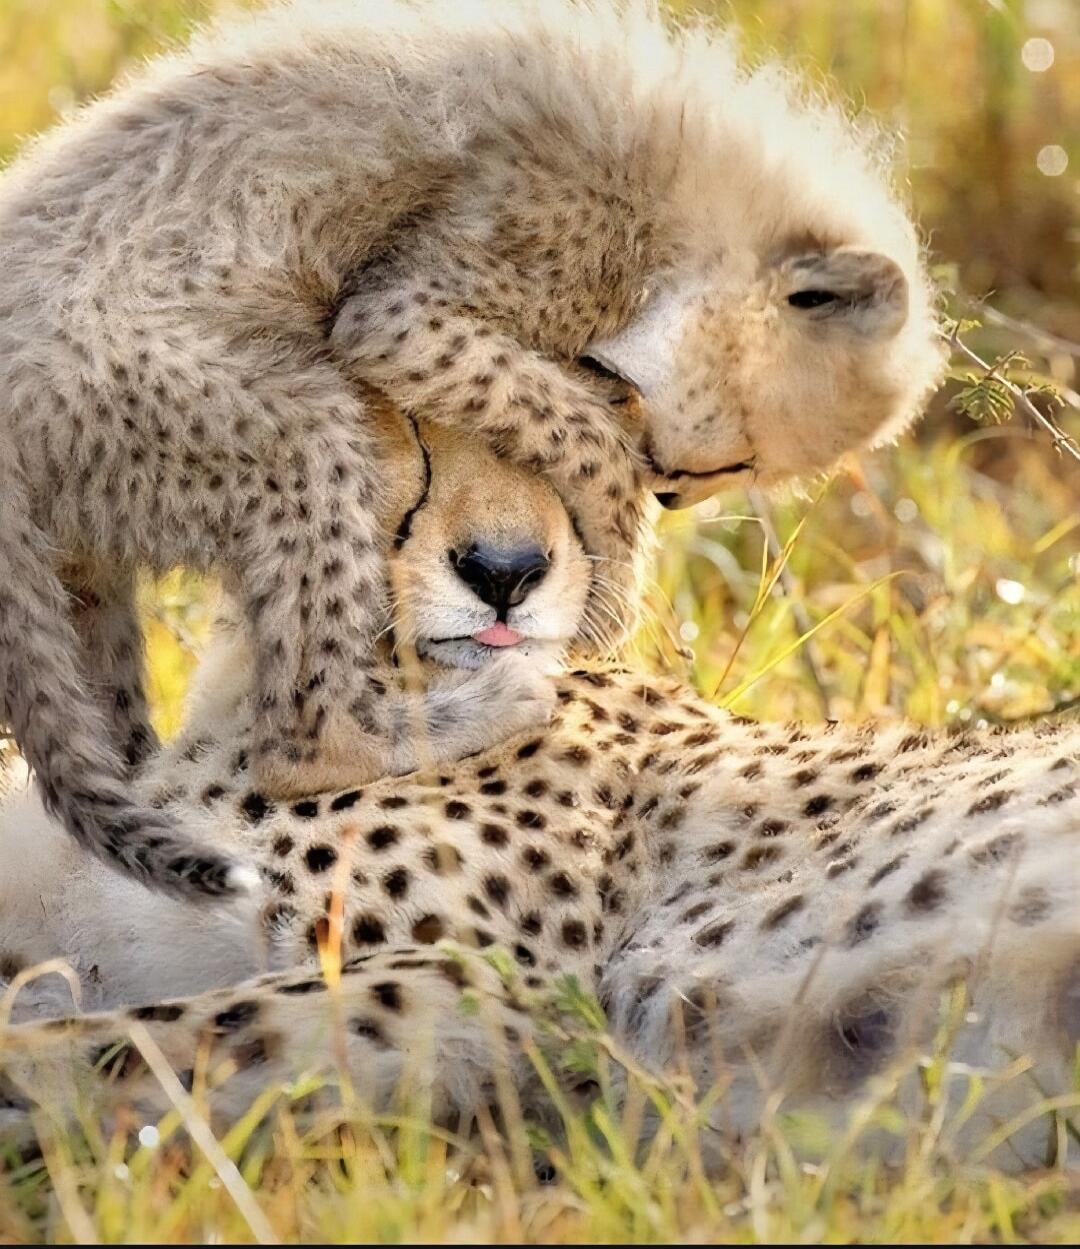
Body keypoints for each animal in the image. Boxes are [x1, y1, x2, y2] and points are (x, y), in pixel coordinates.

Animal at [0, 0, 946, 901]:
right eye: (738, 459)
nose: (675, 488)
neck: (694, 185)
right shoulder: (417, 307)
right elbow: (569, 424)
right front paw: (616, 561)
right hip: (276, 431)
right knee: (298, 745)